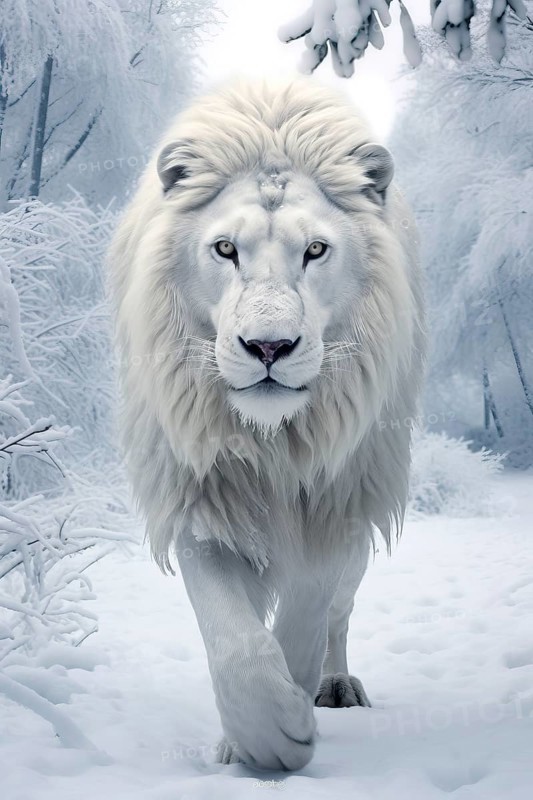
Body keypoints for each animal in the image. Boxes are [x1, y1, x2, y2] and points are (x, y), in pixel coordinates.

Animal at [108, 79, 425, 771]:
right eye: (226, 249)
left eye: (316, 250)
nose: (269, 347)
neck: (272, 440)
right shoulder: (202, 495)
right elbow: (237, 642)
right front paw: (261, 738)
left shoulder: (337, 499)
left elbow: (305, 617)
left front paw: (294, 718)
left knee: (339, 615)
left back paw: (334, 686)